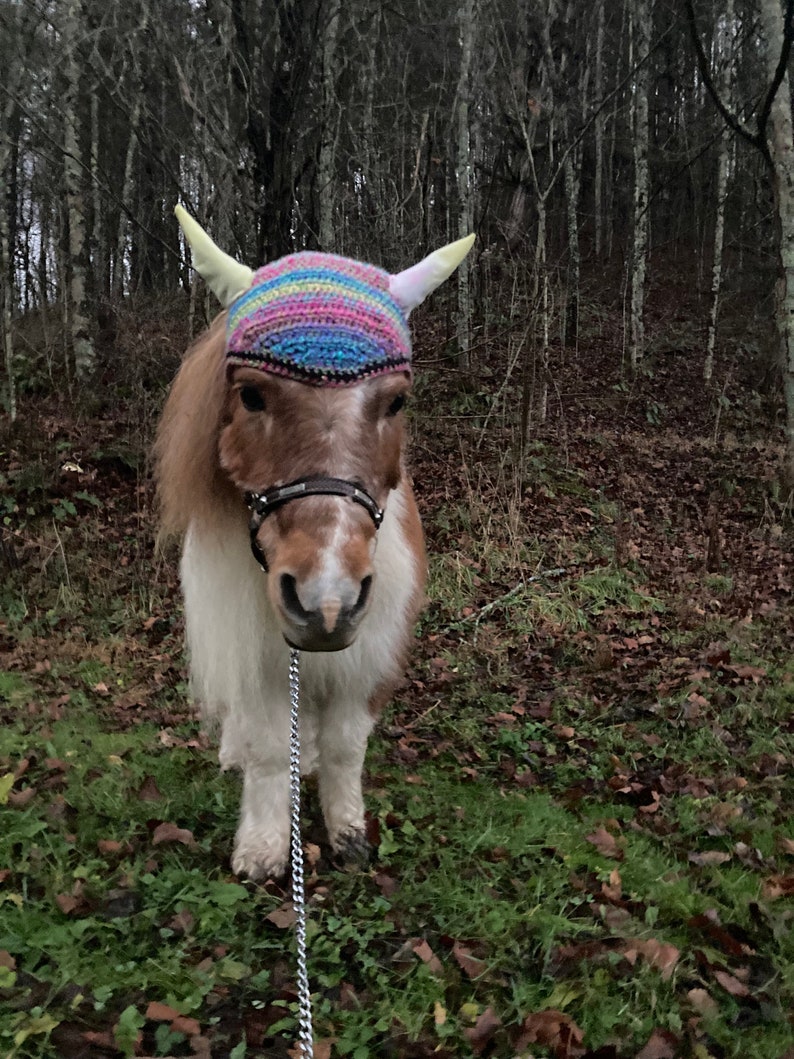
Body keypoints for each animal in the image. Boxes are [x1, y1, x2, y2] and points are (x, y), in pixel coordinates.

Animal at [158, 206, 476, 876]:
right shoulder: (255, 653)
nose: (325, 602)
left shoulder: (368, 653)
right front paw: (263, 846)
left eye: (397, 401)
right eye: (251, 394)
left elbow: (345, 746)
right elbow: (267, 748)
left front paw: (349, 831)